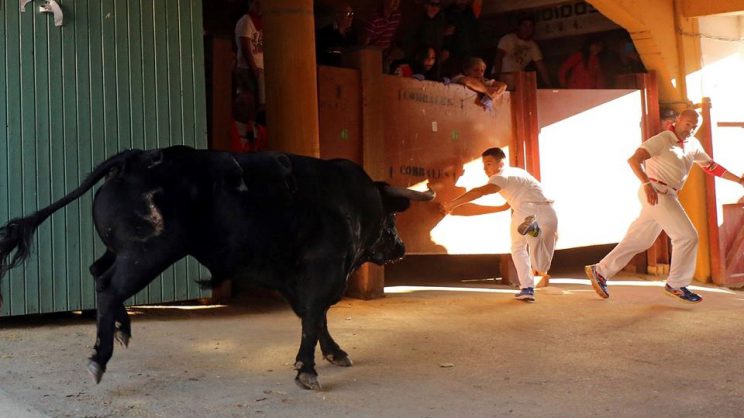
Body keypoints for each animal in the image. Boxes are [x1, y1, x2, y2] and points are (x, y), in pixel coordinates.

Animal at [0, 146, 436, 388]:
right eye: (392, 218)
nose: (400, 246)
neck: (353, 198)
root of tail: (135, 157)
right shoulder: (323, 270)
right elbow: (314, 316)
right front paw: (307, 369)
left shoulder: (294, 277)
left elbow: (313, 317)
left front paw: (331, 353)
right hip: (149, 252)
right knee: (109, 285)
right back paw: (99, 358)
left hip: (125, 250)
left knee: (97, 274)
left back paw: (122, 329)